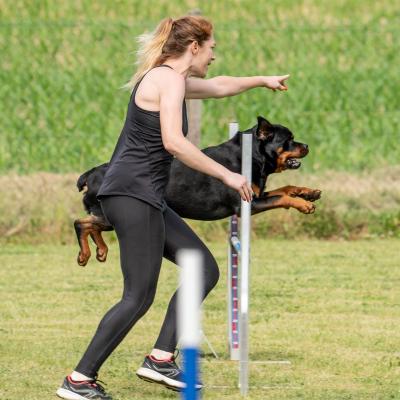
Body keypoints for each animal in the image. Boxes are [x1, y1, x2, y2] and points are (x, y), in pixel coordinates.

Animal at [74, 116, 321, 266]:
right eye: (289, 140)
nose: (307, 145)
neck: (252, 156)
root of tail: (91, 174)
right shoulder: (246, 204)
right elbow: (281, 197)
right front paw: (305, 205)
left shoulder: (256, 195)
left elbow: (286, 189)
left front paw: (309, 192)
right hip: (116, 215)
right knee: (81, 223)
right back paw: (85, 254)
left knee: (91, 225)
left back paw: (101, 250)